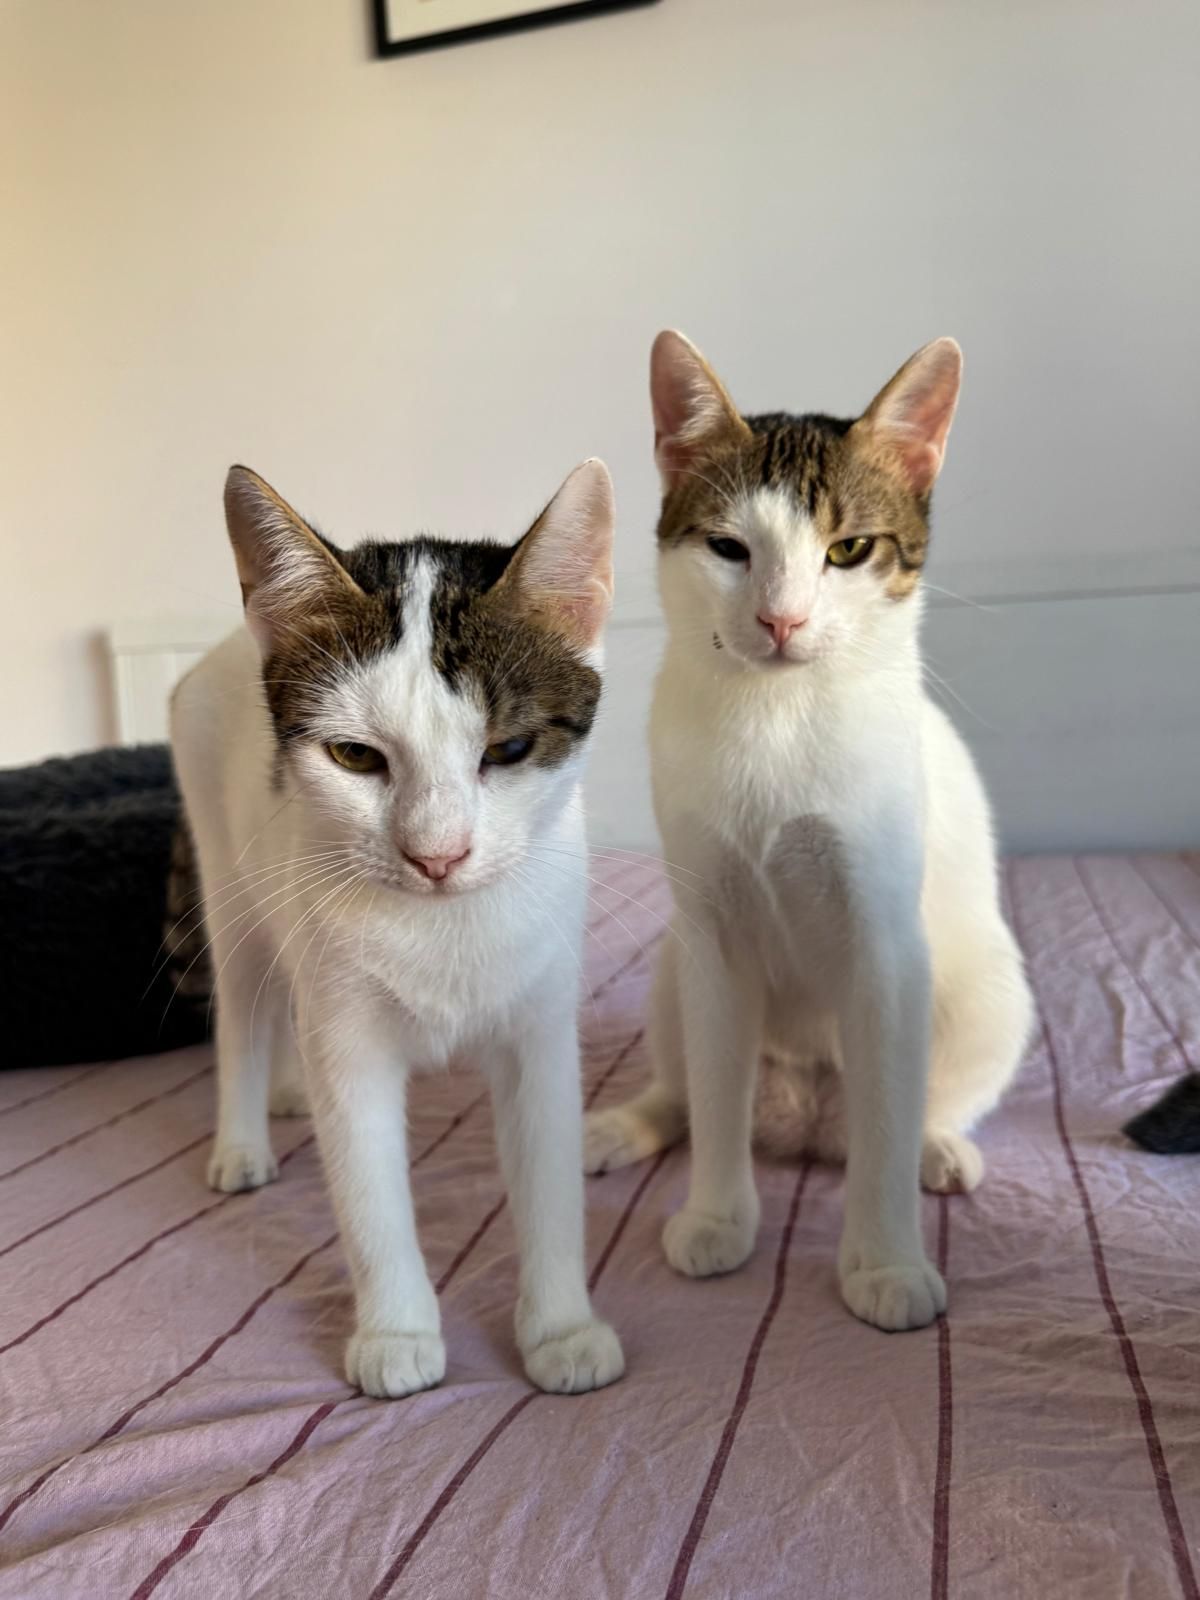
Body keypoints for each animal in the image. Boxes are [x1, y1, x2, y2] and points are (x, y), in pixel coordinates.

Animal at [171, 459, 625, 1397]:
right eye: (354, 757)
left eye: (510, 749)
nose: (437, 856)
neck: (441, 926)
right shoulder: (350, 1039)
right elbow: (369, 1187)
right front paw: (397, 1331)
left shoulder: (540, 1025)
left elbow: (550, 1175)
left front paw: (561, 1329)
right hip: (230, 883)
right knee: (245, 1008)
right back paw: (243, 1137)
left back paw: (288, 1091)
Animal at [585, 331, 1033, 1332]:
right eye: (728, 548)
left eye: (849, 549)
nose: (781, 619)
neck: (777, 717)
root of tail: (803, 1122)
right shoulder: (710, 935)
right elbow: (716, 1101)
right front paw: (719, 1214)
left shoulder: (884, 944)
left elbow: (885, 1123)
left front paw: (886, 1261)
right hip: (673, 973)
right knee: (687, 1093)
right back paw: (625, 1124)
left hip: (991, 993)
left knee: (914, 1107)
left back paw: (938, 1149)